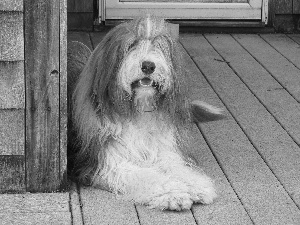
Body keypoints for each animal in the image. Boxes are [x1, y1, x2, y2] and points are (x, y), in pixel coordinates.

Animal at [68, 15, 223, 211]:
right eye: (131, 45)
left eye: (159, 46)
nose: (148, 65)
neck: (138, 110)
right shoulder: (108, 161)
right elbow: (146, 175)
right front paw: (174, 193)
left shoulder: (163, 148)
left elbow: (176, 165)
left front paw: (195, 184)